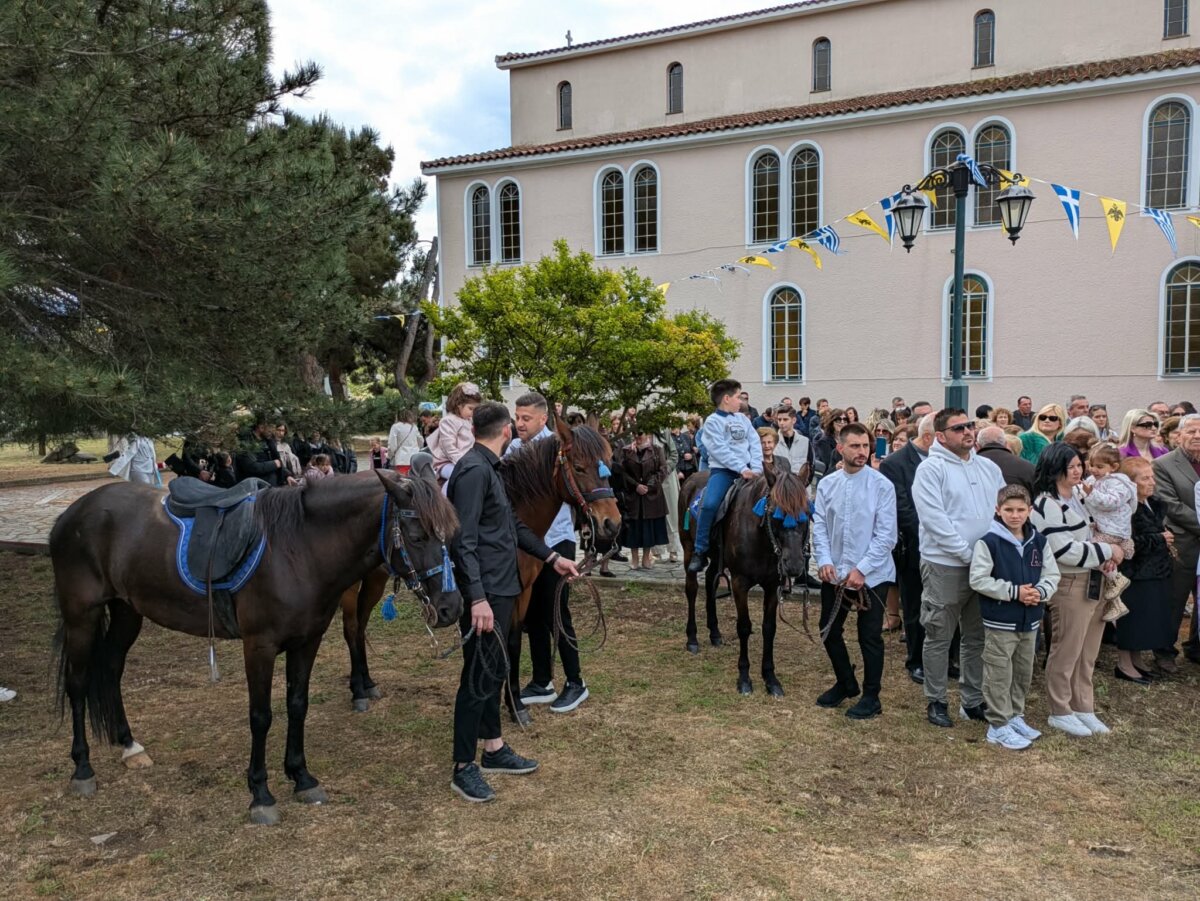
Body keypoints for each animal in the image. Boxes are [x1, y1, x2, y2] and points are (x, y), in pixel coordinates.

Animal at [50, 468, 461, 825]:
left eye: (448, 535)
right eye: (417, 536)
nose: (451, 607)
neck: (299, 548)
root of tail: (73, 512)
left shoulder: (306, 641)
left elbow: (297, 705)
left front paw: (301, 777)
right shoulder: (259, 646)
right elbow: (261, 716)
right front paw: (261, 794)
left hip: (126, 611)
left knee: (111, 669)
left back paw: (129, 746)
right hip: (82, 616)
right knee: (78, 684)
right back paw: (82, 768)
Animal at [334, 421, 621, 719]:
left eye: (610, 461)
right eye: (579, 467)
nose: (612, 523)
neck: (514, 509)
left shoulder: (522, 592)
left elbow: (513, 643)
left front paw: (515, 704)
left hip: (375, 579)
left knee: (360, 626)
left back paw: (367, 683)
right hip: (348, 586)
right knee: (351, 627)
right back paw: (358, 690)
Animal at [679, 468, 811, 696]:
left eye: (806, 512)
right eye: (774, 513)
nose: (794, 563)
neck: (761, 538)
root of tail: (691, 479)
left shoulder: (772, 586)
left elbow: (769, 628)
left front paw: (770, 678)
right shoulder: (740, 584)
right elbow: (744, 627)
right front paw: (744, 678)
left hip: (717, 557)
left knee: (711, 581)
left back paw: (715, 633)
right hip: (688, 550)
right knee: (692, 589)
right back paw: (692, 638)